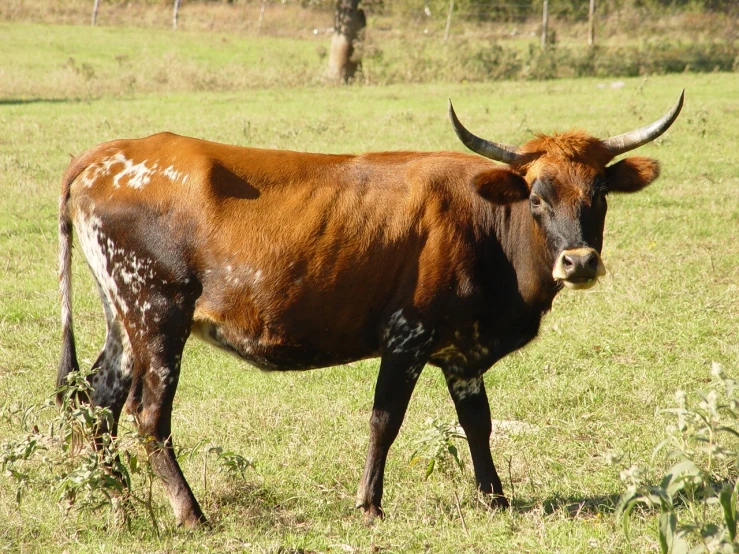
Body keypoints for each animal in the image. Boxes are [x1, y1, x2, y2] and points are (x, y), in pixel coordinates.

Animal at [56, 91, 684, 528]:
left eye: (598, 195)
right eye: (536, 196)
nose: (578, 262)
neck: (483, 222)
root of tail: (105, 155)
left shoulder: (462, 351)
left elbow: (477, 423)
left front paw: (495, 497)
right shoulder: (407, 336)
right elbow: (386, 420)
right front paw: (369, 505)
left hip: (124, 317)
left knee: (97, 397)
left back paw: (110, 495)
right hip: (157, 313)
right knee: (147, 415)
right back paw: (189, 512)